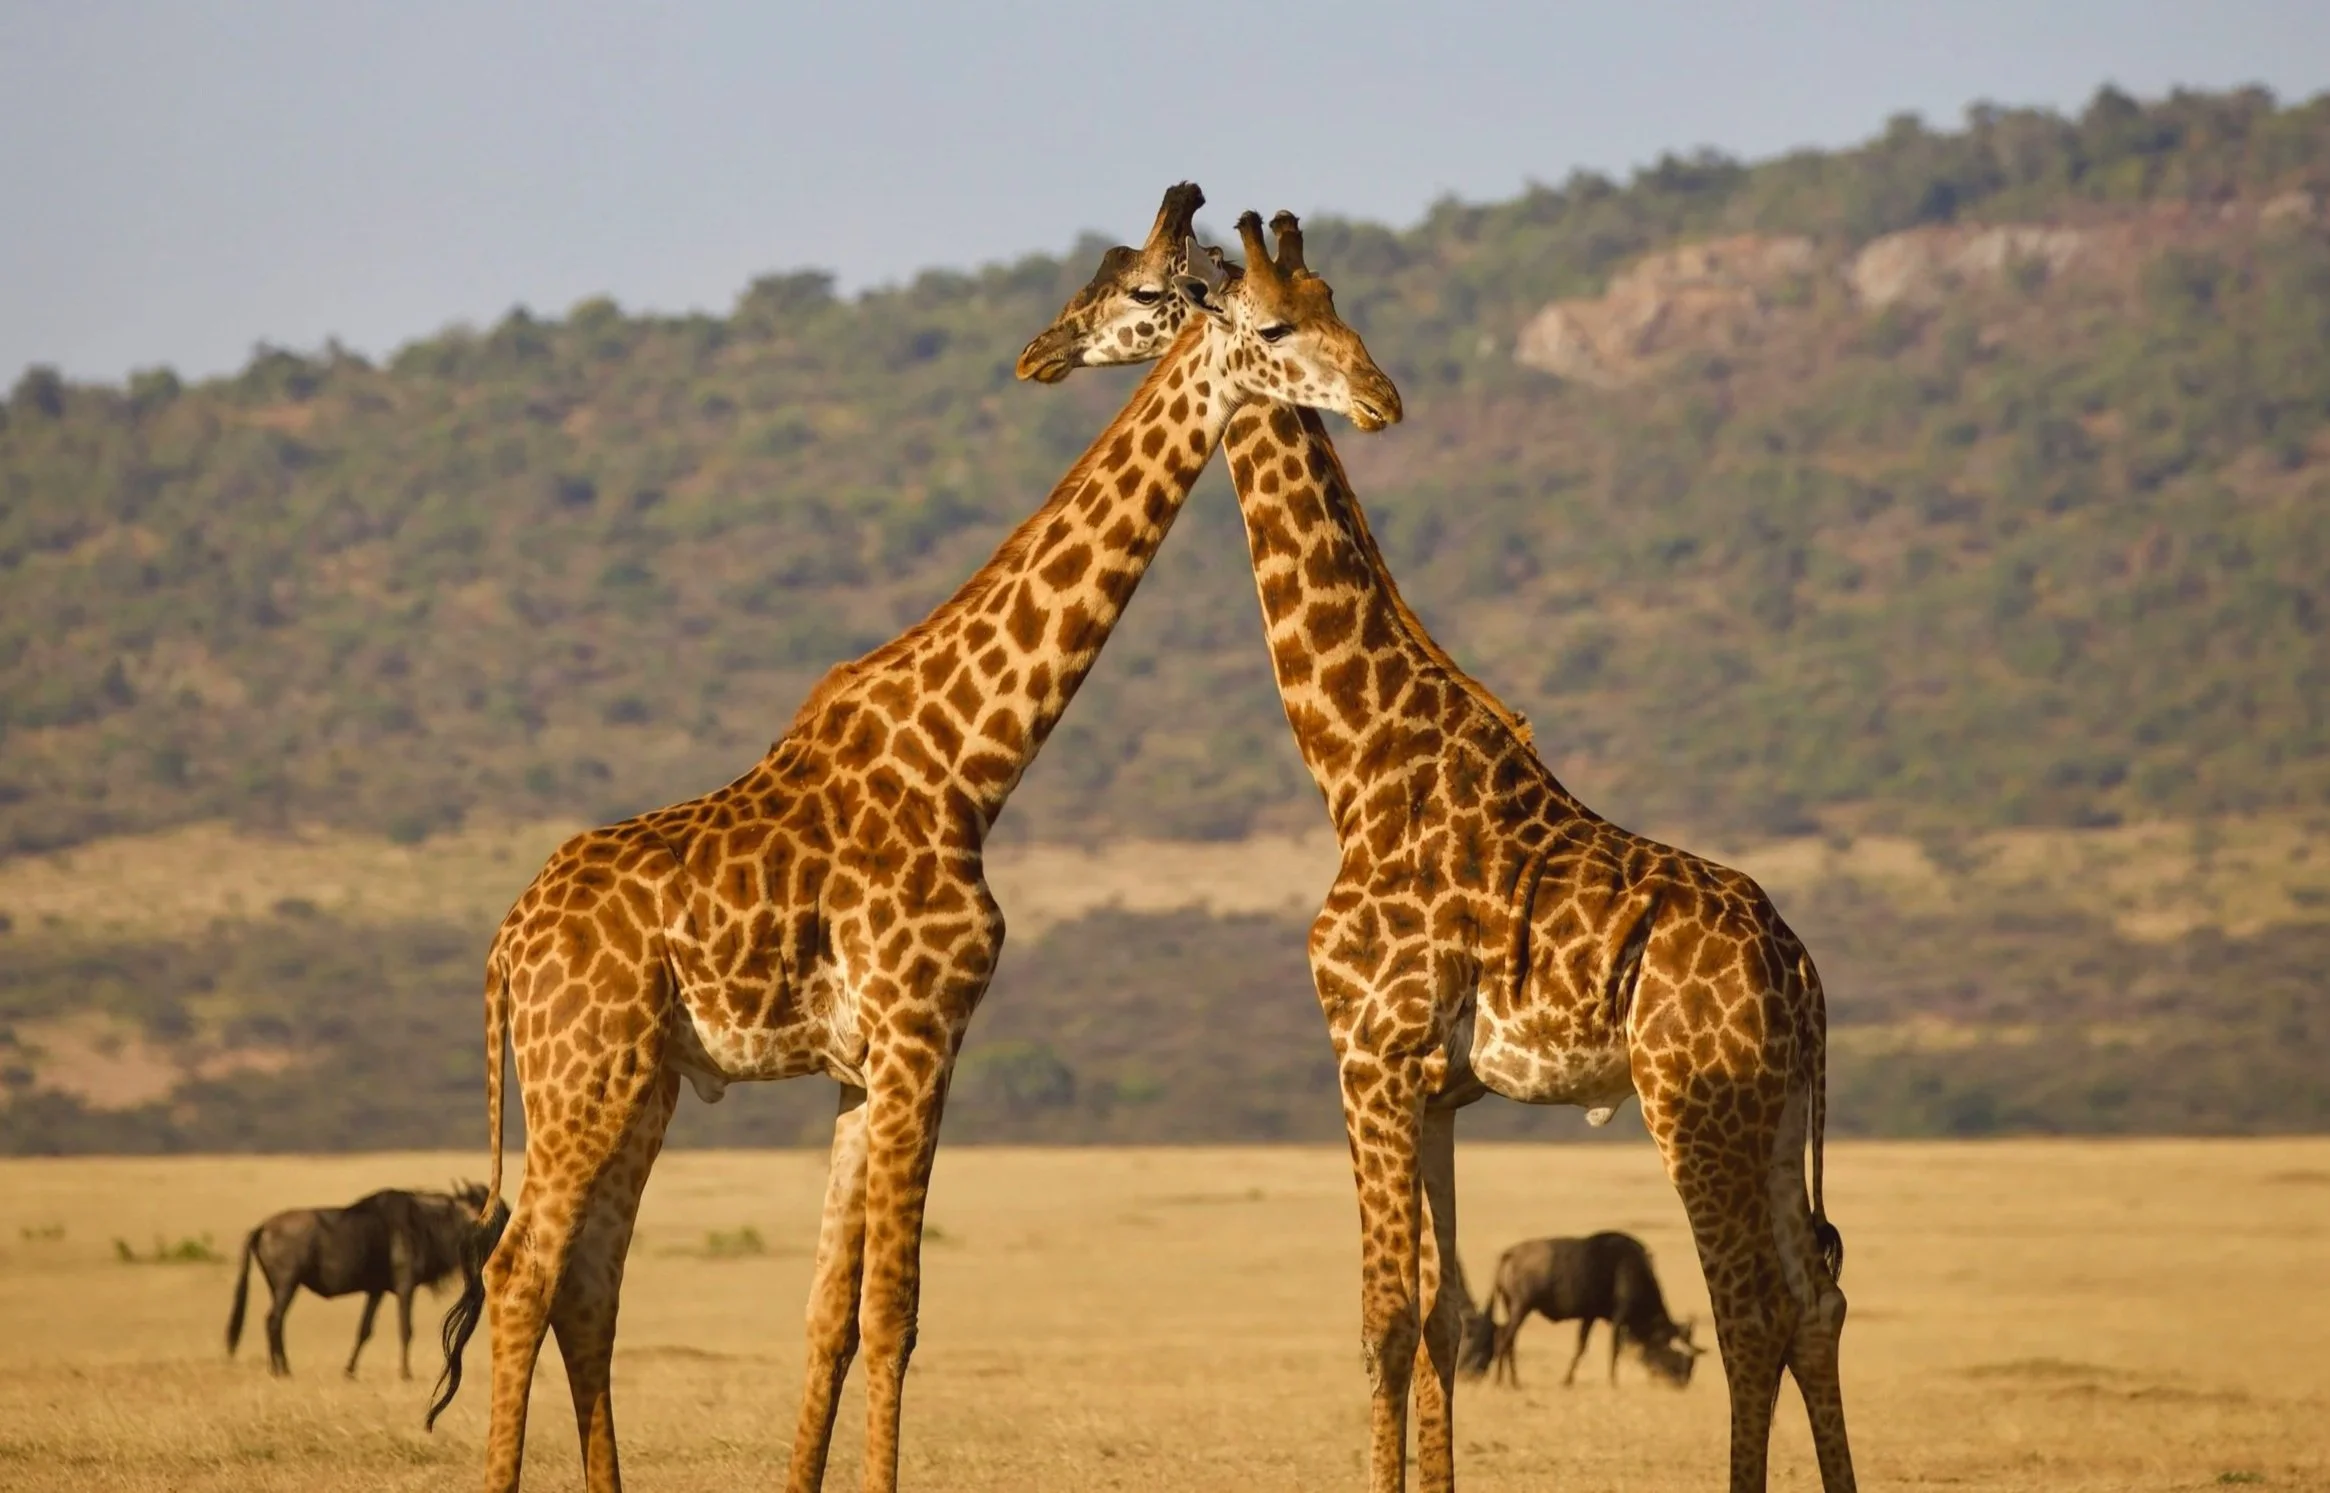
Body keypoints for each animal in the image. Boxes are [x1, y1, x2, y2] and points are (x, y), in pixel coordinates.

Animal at [421, 183, 1404, 1493]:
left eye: (1334, 301)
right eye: (1269, 323)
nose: (1382, 395)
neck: (967, 763)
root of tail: (504, 949)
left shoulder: (859, 1062)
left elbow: (827, 1313)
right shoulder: (922, 1032)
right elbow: (894, 1311)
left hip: (640, 1081)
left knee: (587, 1282)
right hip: (584, 1070)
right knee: (519, 1268)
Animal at [1019, 201, 1856, 1493]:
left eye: (1140, 287)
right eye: (1286, 317)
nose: (1043, 348)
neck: (1358, 762)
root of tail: (1799, 966)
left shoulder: (1365, 1053)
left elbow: (1379, 1319)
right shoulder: (1439, 1089)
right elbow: (1442, 1315)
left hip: (1695, 1101)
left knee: (1749, 1311)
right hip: (1772, 1111)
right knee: (1815, 1297)